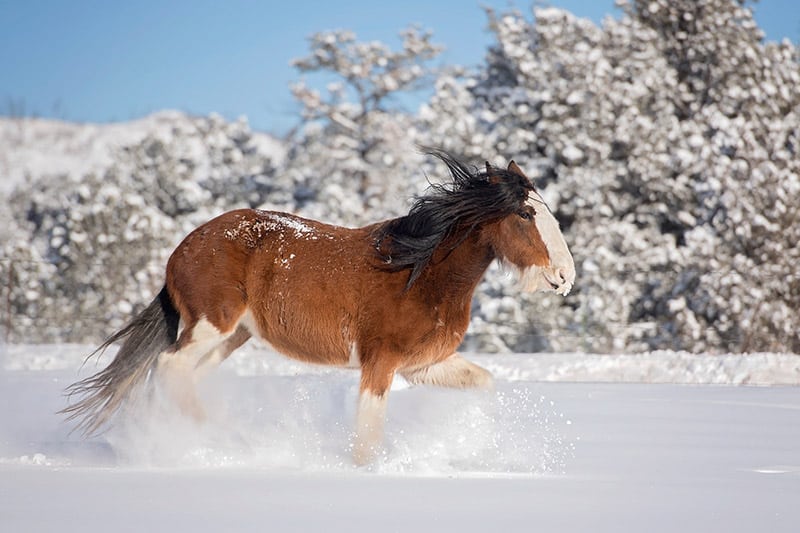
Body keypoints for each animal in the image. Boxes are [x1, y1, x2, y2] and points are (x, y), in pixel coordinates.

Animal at [61, 150, 575, 465]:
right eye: (526, 214)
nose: (566, 276)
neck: (419, 271)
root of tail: (182, 249)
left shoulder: (423, 365)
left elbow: (484, 386)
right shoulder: (379, 362)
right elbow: (367, 433)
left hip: (230, 338)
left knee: (176, 377)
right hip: (211, 326)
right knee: (169, 368)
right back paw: (223, 442)